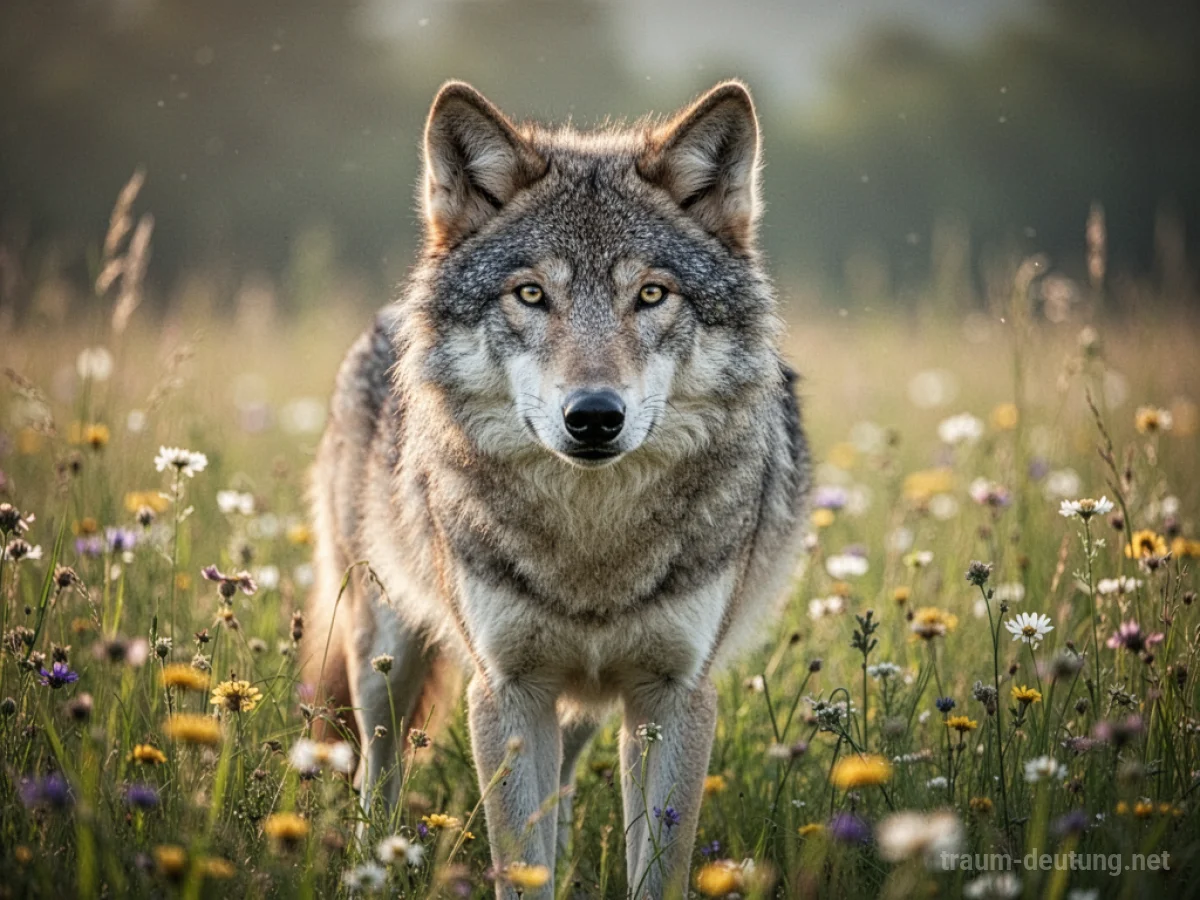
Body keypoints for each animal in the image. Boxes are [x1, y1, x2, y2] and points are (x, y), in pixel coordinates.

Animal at [302, 79, 810, 898]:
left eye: (652, 295)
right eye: (533, 294)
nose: (595, 416)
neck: (590, 546)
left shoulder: (672, 695)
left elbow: (655, 864)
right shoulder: (506, 692)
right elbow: (519, 862)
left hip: (579, 707)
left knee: (563, 786)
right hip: (384, 653)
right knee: (376, 771)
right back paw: (365, 865)